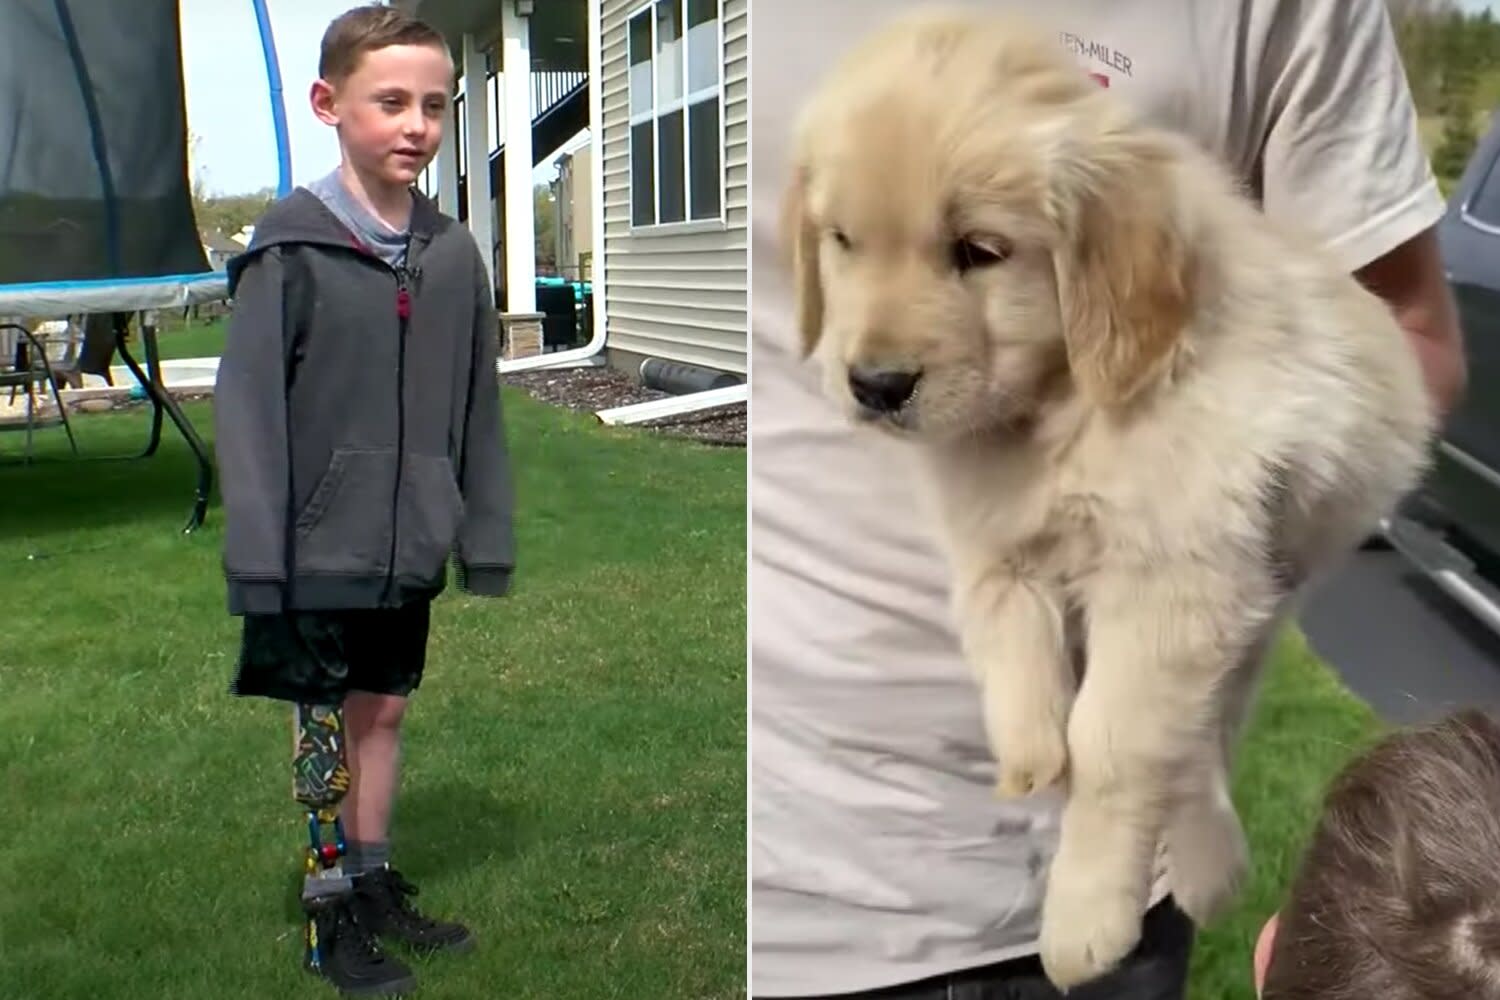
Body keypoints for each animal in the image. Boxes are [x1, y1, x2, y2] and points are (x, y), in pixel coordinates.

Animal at [780, 7, 1434, 995]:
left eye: (979, 252)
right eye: (843, 242)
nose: (876, 385)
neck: (1059, 412)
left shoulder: (1180, 576)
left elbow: (1116, 749)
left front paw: (1084, 919)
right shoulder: (998, 549)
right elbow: (1010, 650)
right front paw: (1028, 754)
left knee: (1204, 732)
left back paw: (1205, 863)